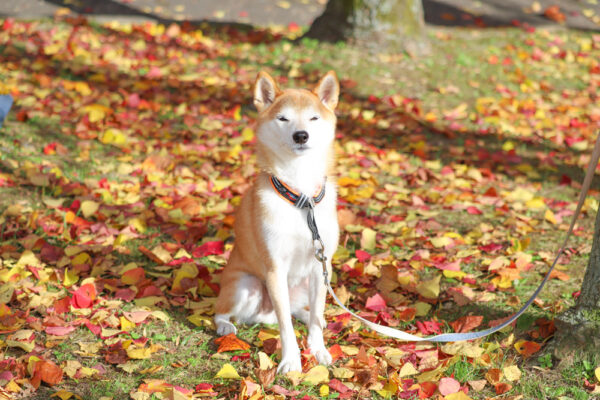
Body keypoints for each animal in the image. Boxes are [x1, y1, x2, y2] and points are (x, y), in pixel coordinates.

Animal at [214, 70, 338, 374]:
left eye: (313, 118)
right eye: (283, 118)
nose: (301, 135)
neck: (301, 200)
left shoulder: (321, 267)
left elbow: (314, 318)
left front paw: (318, 350)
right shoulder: (275, 269)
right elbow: (285, 327)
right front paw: (291, 361)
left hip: (306, 286)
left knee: (300, 311)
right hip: (246, 286)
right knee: (222, 311)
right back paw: (225, 326)